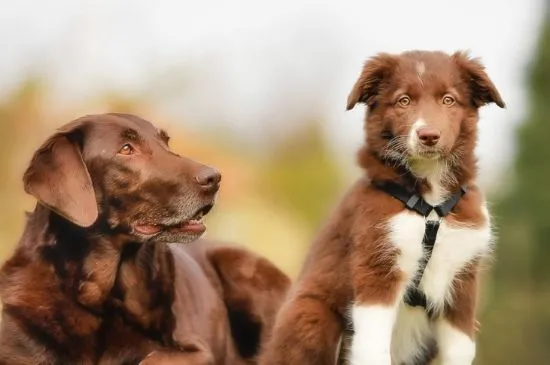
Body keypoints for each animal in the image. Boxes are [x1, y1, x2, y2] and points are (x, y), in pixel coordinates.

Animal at [260, 49, 506, 364]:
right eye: (404, 101)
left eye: (448, 100)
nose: (428, 136)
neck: (430, 201)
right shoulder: (378, 267)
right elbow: (373, 346)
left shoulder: (463, 281)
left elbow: (460, 351)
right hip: (311, 315)